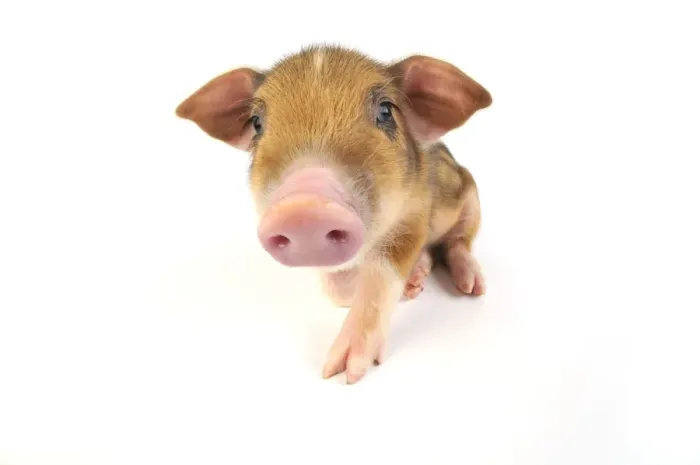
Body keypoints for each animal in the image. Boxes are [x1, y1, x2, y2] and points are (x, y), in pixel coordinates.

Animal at [175, 45, 491, 383]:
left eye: (385, 112)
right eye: (257, 123)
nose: (304, 206)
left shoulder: (416, 211)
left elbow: (381, 277)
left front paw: (342, 373)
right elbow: (335, 287)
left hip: (471, 196)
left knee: (457, 242)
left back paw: (471, 287)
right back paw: (416, 282)